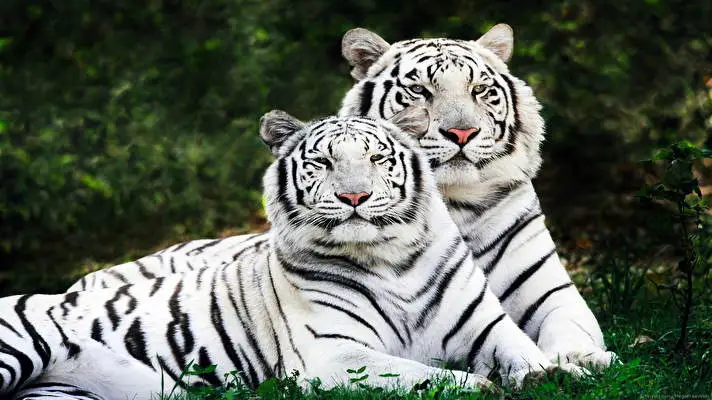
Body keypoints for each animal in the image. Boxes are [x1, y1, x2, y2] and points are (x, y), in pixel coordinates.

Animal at [1, 110, 584, 400]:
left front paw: (557, 373)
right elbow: (416, 373)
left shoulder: (487, 327)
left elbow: (524, 350)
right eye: (323, 163)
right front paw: (478, 385)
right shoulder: (333, 354)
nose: (354, 197)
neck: (391, 259)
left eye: (378, 158)